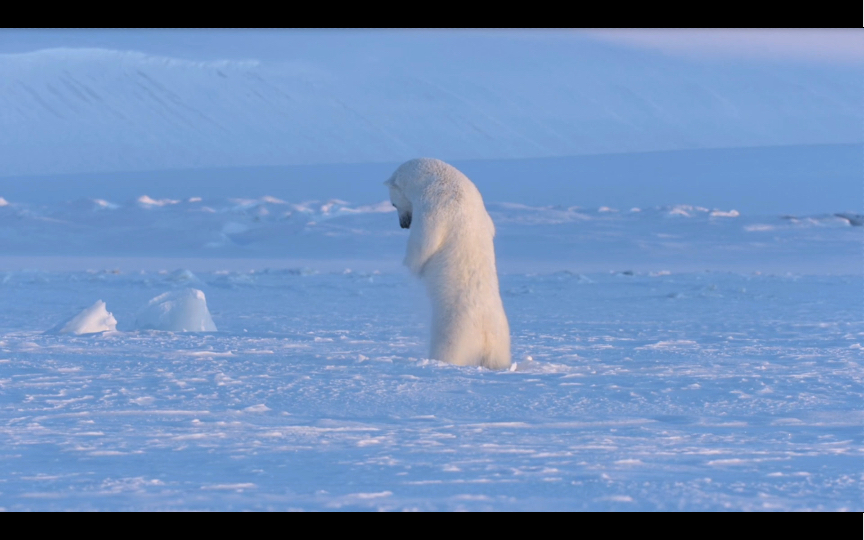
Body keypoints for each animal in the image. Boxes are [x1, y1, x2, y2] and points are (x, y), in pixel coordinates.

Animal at [384, 158, 506, 370]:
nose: (403, 225)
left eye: (392, 203)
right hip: (502, 338)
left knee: (447, 349)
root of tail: (486, 339)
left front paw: (411, 264)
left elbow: (424, 243)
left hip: (455, 330)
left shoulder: (434, 204)